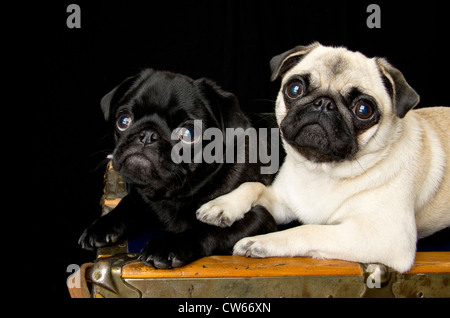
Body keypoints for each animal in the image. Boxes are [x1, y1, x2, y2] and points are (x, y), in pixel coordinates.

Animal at [79, 69, 280, 268]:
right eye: (123, 121)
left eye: (188, 134)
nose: (148, 135)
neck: (172, 196)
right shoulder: (141, 194)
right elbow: (127, 202)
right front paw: (102, 225)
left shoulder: (259, 217)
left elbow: (206, 229)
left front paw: (167, 245)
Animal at [199, 42, 450, 274]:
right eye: (295, 88)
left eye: (364, 109)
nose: (324, 103)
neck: (322, 171)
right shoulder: (283, 201)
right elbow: (253, 186)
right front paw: (222, 205)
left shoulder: (383, 237)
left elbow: (308, 229)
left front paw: (261, 241)